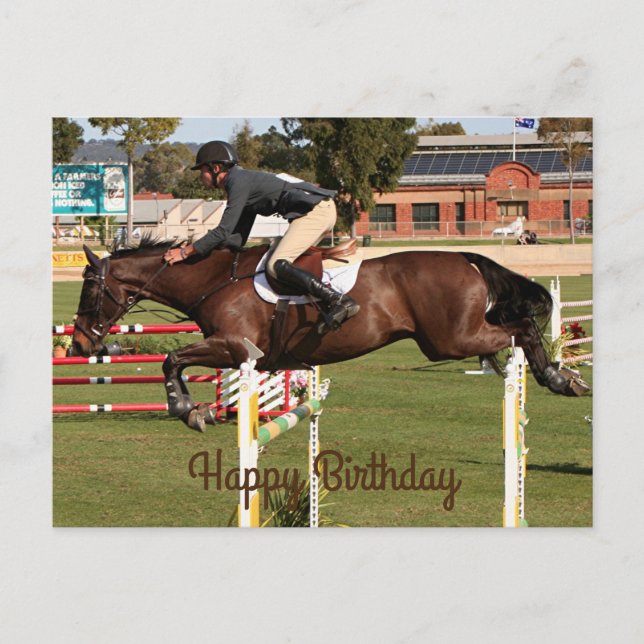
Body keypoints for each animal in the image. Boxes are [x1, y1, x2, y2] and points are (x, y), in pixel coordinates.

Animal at [72, 237, 590, 432]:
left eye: (89, 289)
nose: (79, 345)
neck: (215, 279)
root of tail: (465, 256)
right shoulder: (239, 353)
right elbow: (175, 360)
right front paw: (197, 409)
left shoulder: (235, 347)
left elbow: (172, 359)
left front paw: (188, 409)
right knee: (517, 331)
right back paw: (560, 377)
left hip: (449, 339)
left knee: (521, 329)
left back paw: (558, 377)